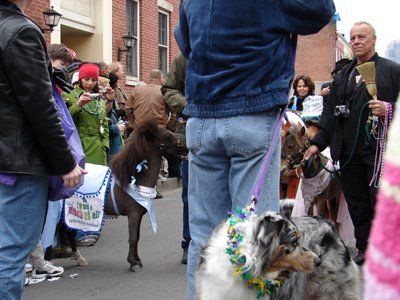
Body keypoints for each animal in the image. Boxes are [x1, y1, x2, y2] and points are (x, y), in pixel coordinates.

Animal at [48, 120, 188, 272]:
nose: (187, 143)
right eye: (168, 136)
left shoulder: (138, 215)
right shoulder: (133, 215)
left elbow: (137, 237)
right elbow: (132, 238)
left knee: (69, 232)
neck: (134, 179)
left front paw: (137, 260)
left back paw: (78, 258)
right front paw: (133, 262)